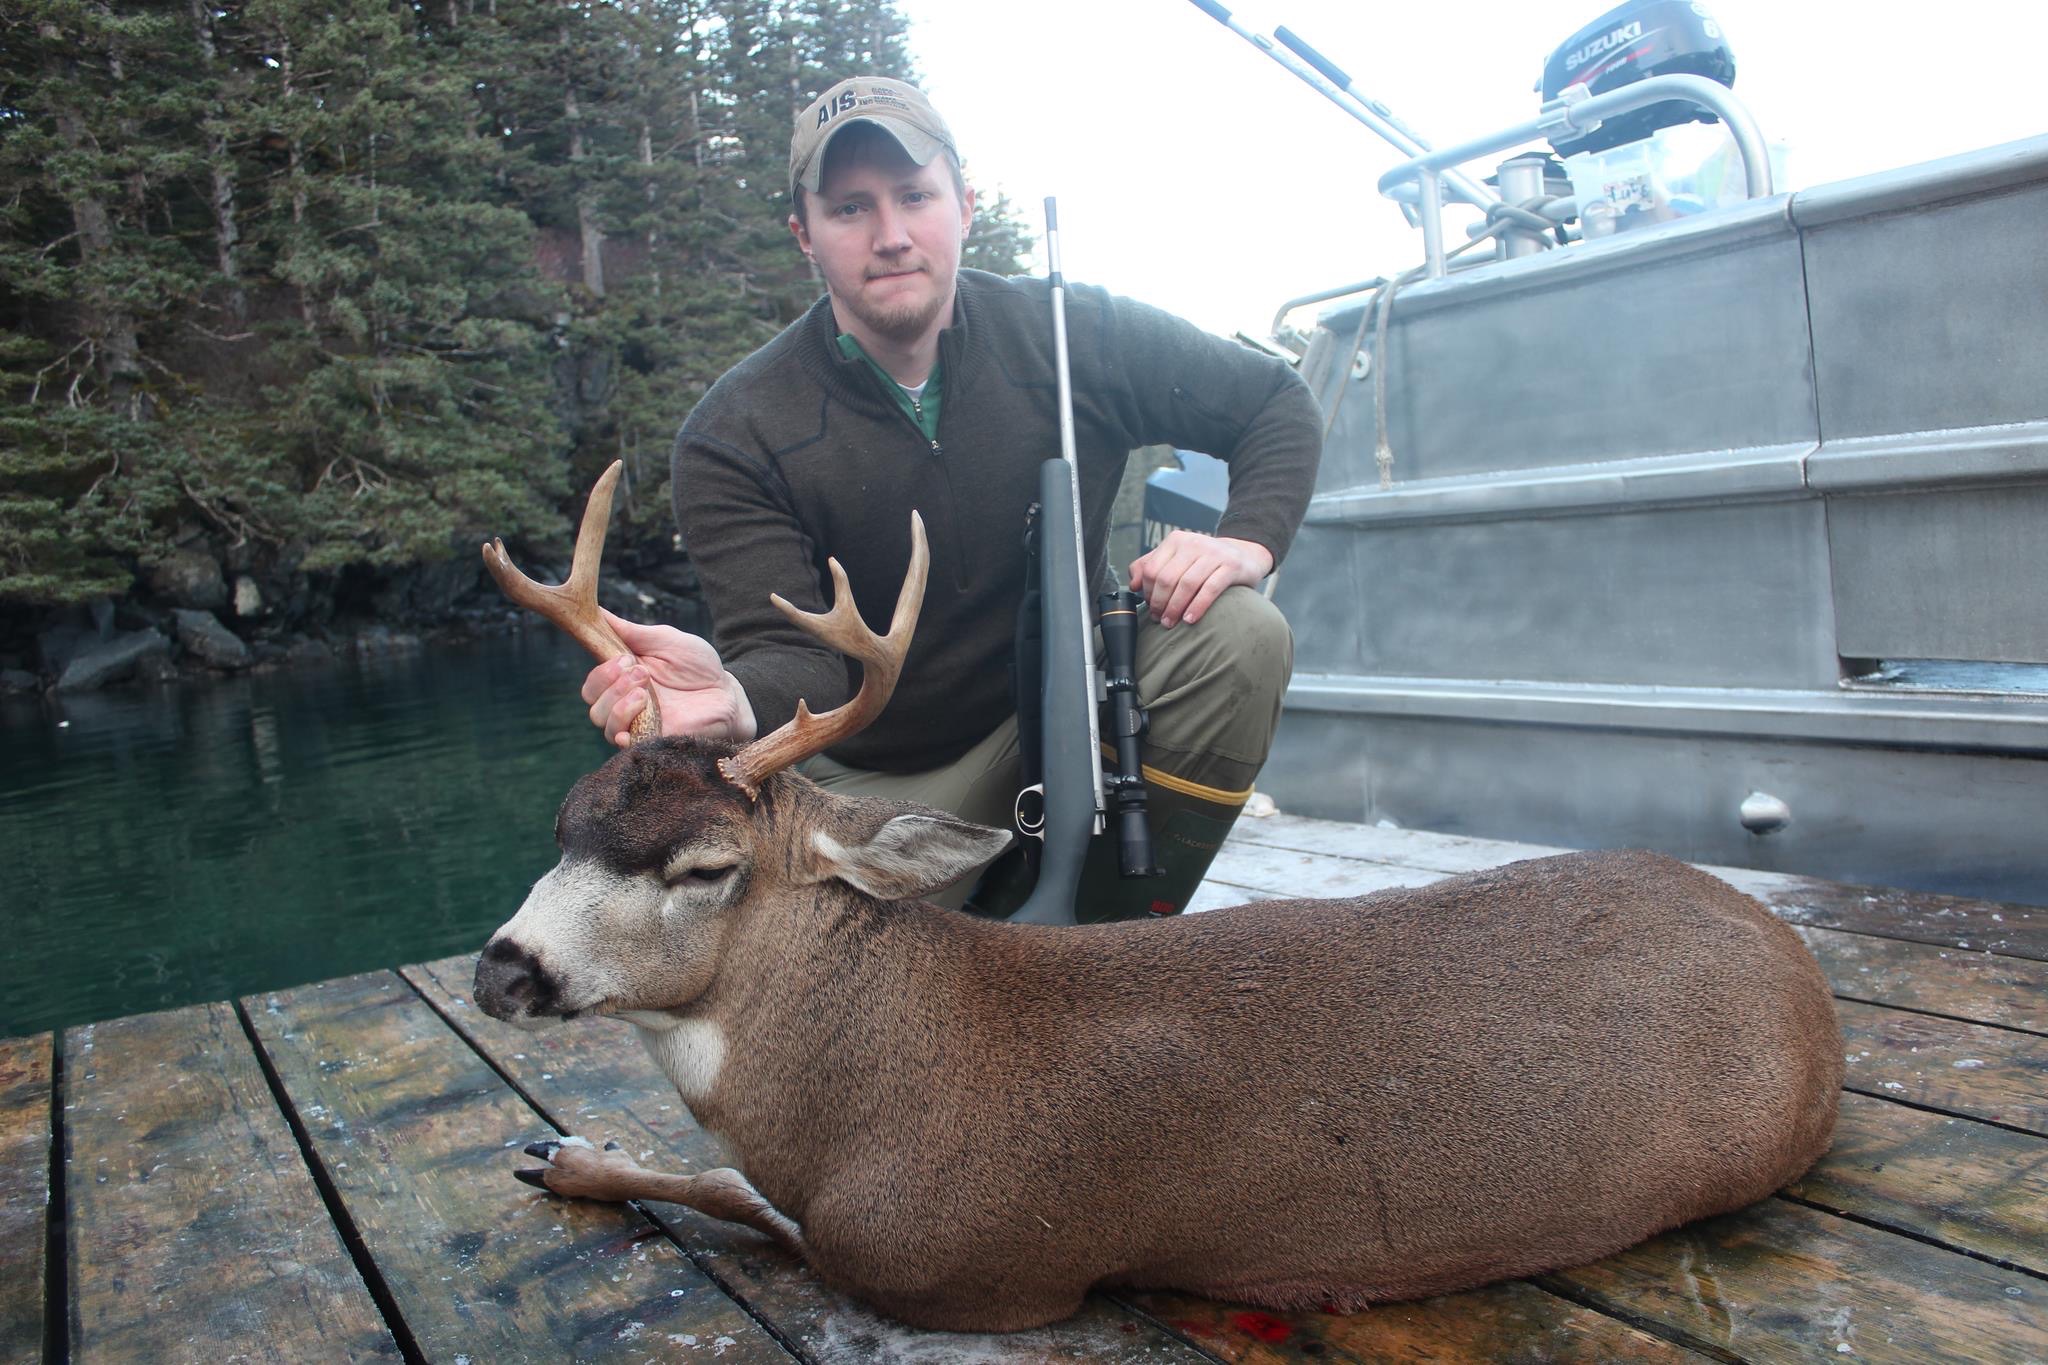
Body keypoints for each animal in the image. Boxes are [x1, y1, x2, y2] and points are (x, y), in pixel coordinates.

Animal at [471, 462, 1851, 1334]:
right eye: (561, 823)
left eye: (705, 868)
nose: (502, 967)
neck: (869, 1089)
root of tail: (1788, 952)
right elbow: (713, 1184)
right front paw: (571, 1154)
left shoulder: (962, 1264)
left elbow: (736, 1199)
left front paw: (577, 1153)